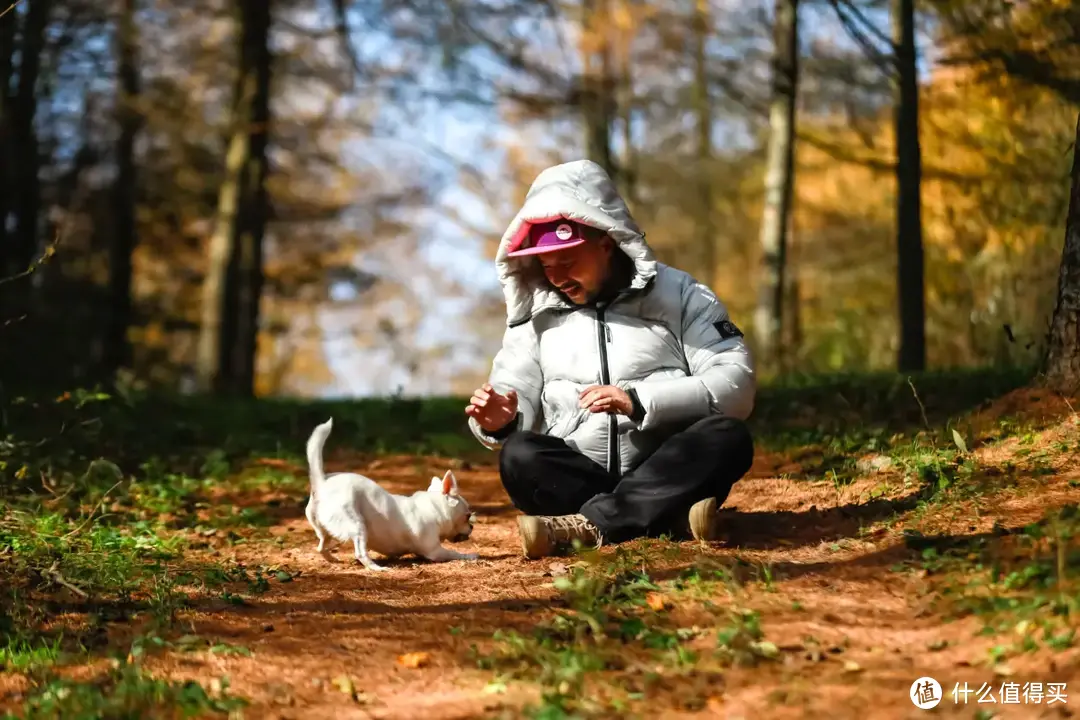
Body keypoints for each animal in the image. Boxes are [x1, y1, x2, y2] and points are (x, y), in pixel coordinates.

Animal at [300, 418, 477, 569]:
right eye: (467, 516)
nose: (472, 527)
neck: (434, 509)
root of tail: (322, 483)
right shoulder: (435, 551)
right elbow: (454, 553)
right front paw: (471, 555)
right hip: (357, 525)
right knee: (360, 553)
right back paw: (376, 568)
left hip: (324, 530)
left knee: (321, 546)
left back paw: (333, 559)